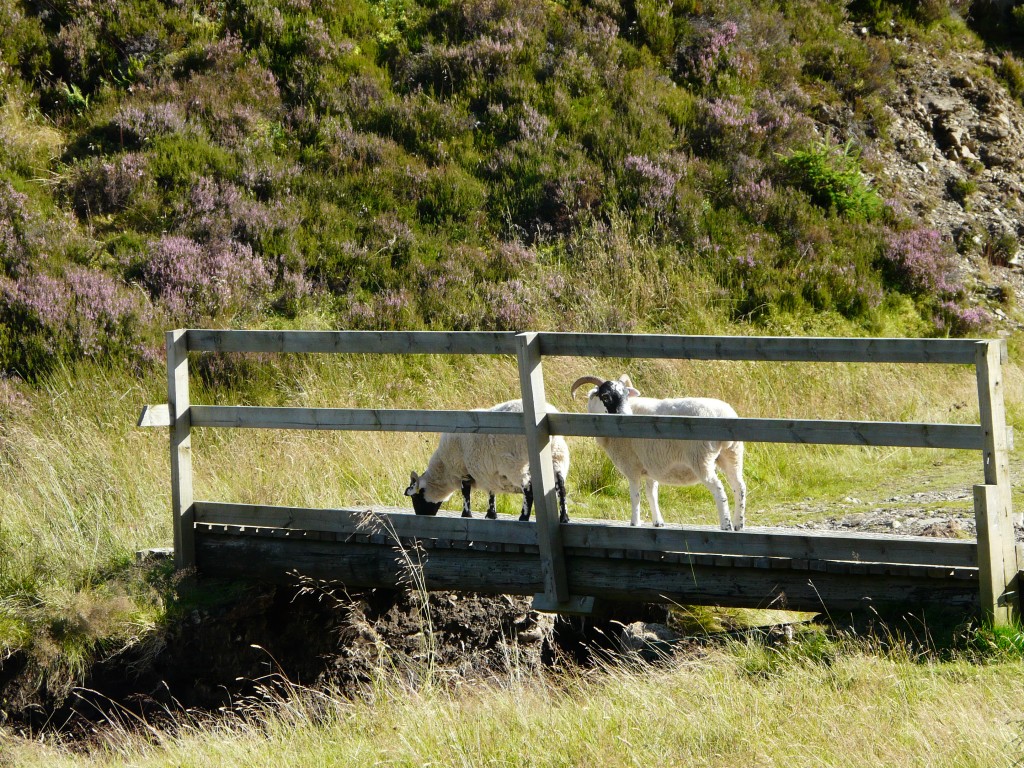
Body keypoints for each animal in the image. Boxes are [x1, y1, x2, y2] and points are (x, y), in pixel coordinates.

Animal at [404, 399, 571, 523]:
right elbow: (491, 492)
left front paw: (466, 515)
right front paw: (491, 514)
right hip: (558, 458)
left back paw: (523, 517)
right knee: (561, 487)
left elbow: (466, 493)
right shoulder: (488, 471)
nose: (421, 516)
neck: (444, 471)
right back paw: (564, 518)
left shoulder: (462, 470)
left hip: (516, 464)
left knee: (528, 489)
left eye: (415, 497)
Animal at [570, 374, 746, 531]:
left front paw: (635, 522)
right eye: (605, 396)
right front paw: (658, 522)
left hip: (701, 459)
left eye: (626, 395)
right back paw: (739, 523)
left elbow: (635, 496)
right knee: (739, 486)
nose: (626, 417)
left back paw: (726, 525)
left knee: (719, 489)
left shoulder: (631, 467)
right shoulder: (651, 466)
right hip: (732, 455)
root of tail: (725, 414)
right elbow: (651, 494)